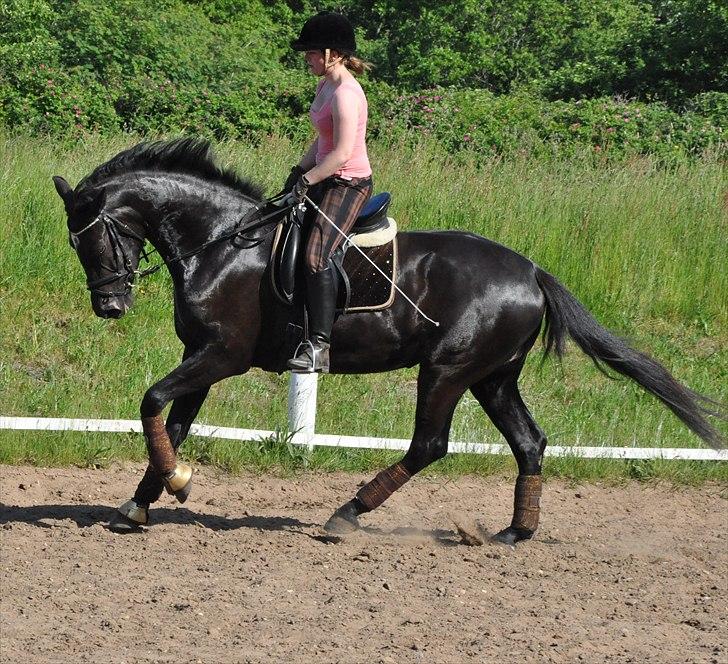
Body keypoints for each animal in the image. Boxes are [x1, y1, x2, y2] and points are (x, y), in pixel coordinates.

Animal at [52, 137, 724, 544]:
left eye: (94, 237)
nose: (109, 305)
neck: (219, 243)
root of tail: (531, 271)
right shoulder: (201, 357)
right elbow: (170, 420)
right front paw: (145, 500)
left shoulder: (221, 356)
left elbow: (152, 402)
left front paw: (173, 485)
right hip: (492, 376)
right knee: (529, 443)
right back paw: (513, 532)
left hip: (449, 370)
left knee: (430, 444)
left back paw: (346, 514)